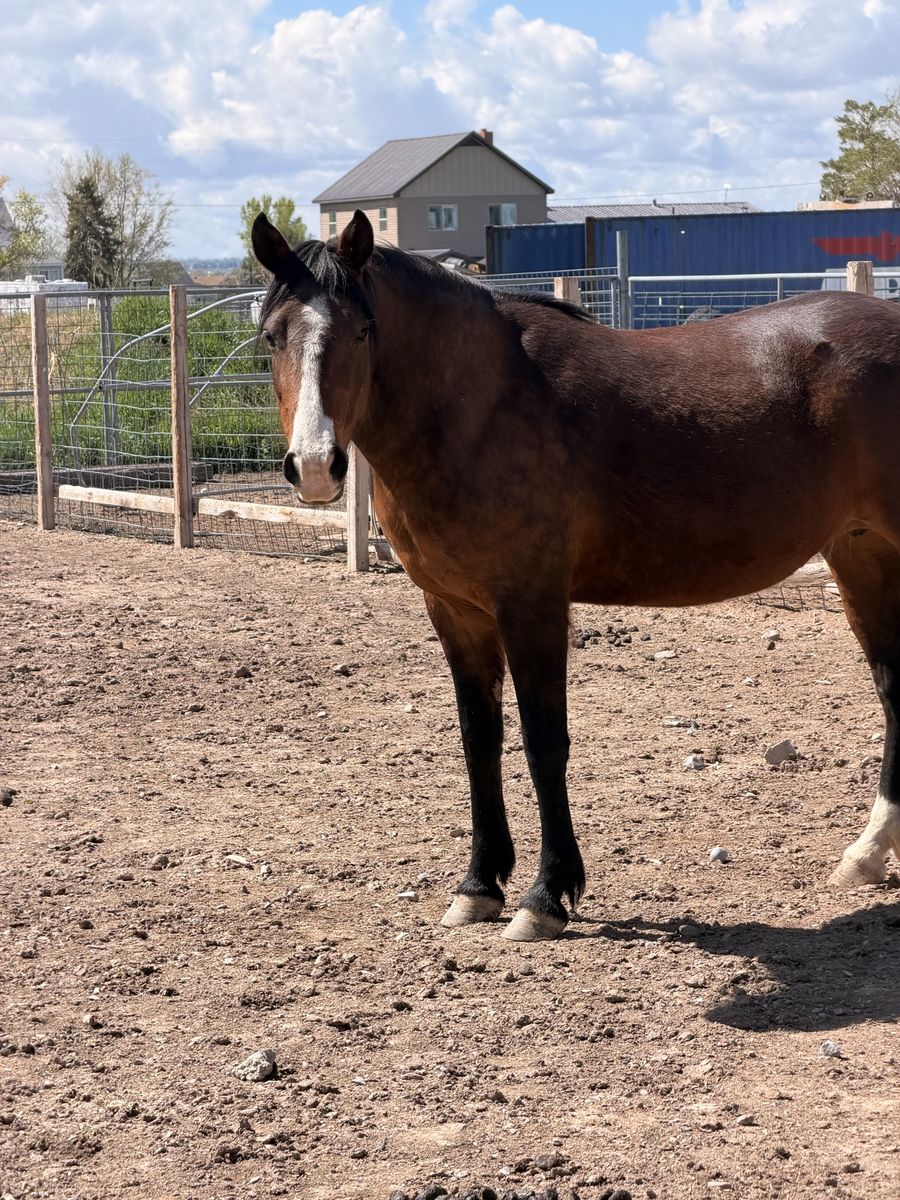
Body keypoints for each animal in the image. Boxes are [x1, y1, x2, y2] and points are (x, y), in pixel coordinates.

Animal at [252, 208, 900, 942]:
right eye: (273, 336)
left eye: (362, 331)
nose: (314, 466)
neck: (480, 404)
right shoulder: (455, 609)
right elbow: (480, 739)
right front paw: (478, 886)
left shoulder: (531, 602)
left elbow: (543, 741)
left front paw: (545, 896)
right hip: (861, 555)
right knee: (895, 691)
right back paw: (867, 853)